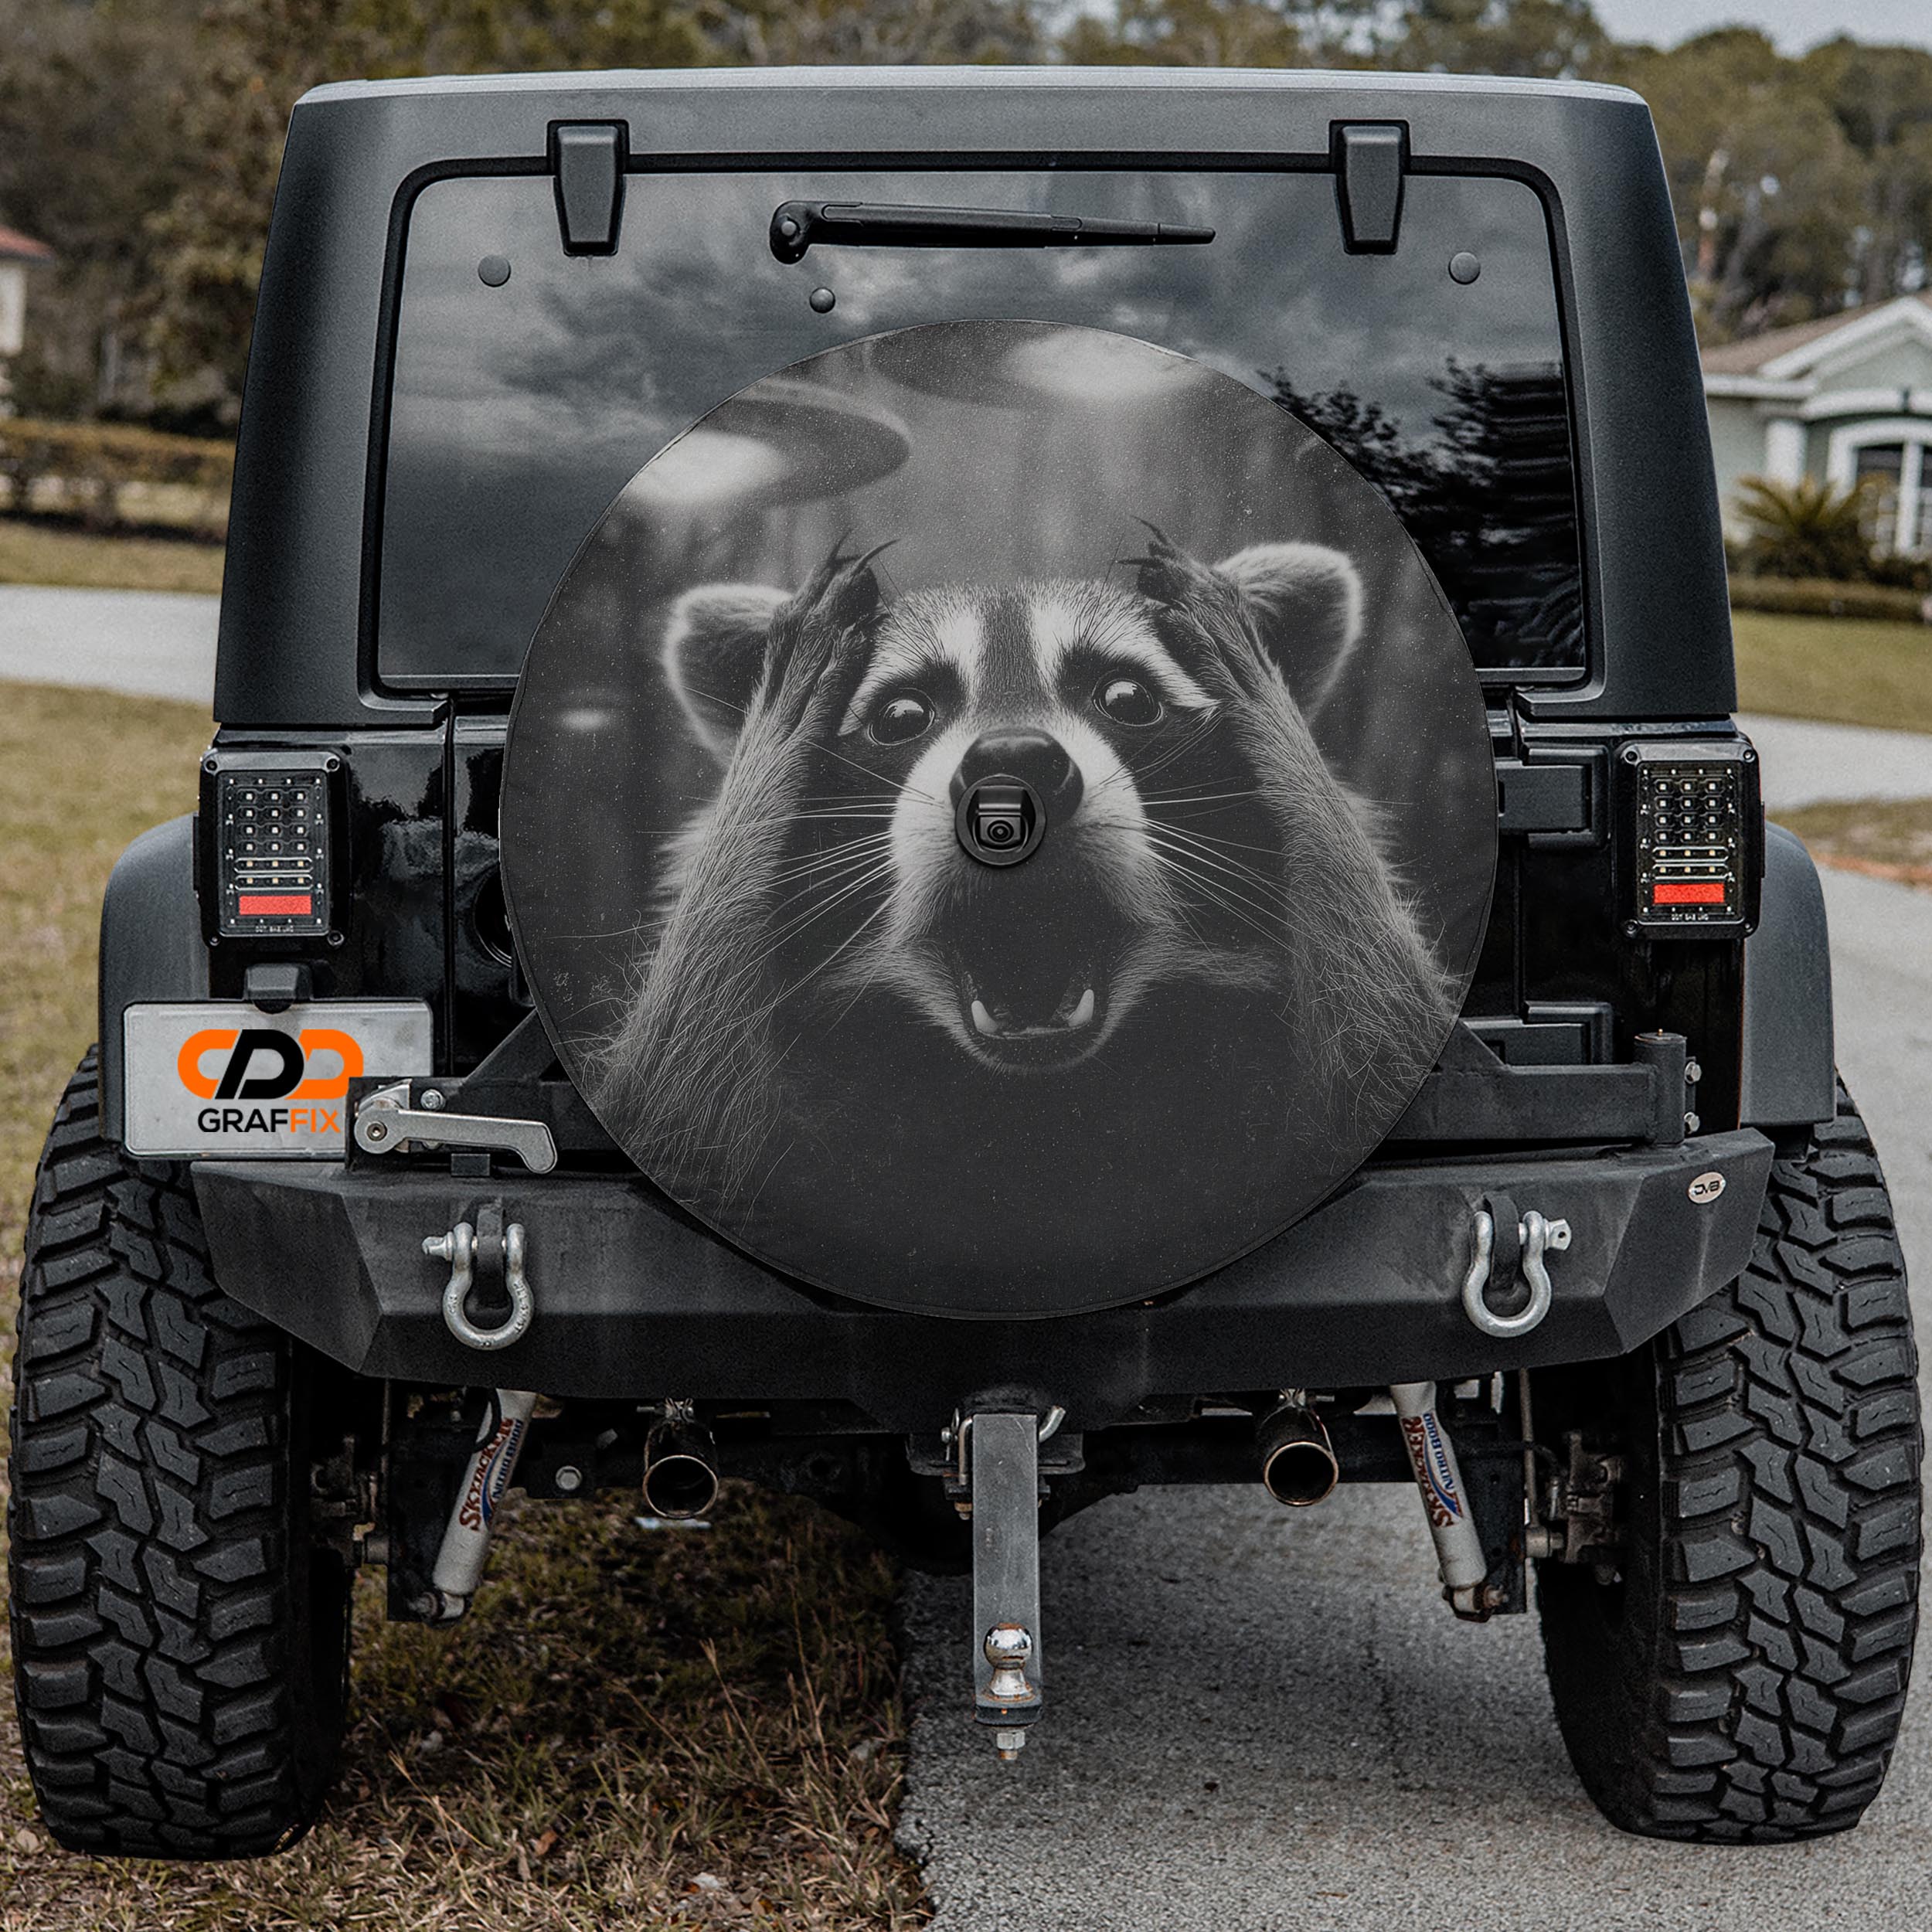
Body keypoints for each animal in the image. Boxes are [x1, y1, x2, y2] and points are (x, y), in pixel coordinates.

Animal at [593, 528, 1458, 1309]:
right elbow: (674, 1111)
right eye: (902, 715)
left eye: (1126, 698)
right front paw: (775, 727)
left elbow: (1382, 1050)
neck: (1033, 1103)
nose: (1014, 766)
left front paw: (1266, 704)